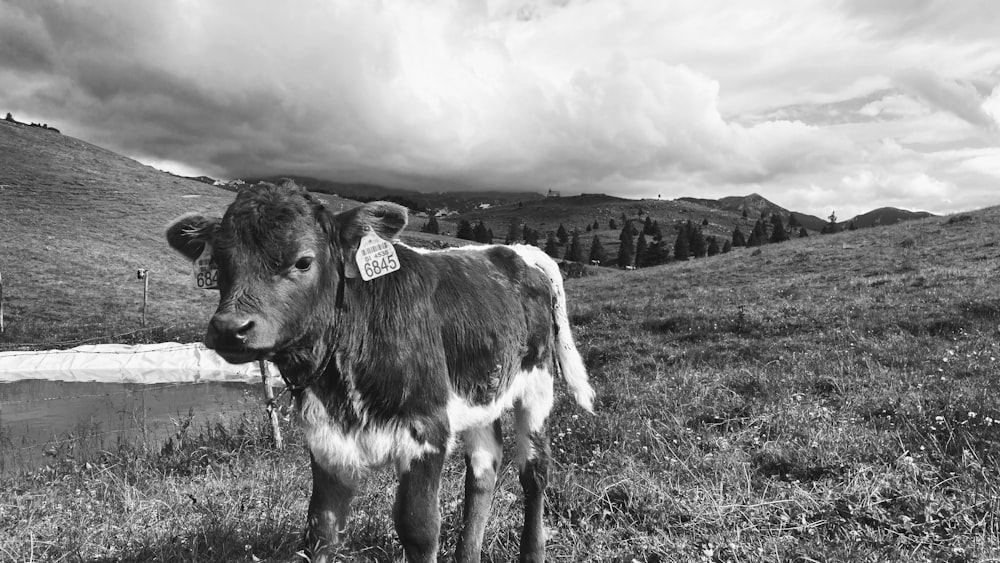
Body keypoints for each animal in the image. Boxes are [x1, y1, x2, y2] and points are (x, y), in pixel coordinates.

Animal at [168, 183, 596, 560]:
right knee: (484, 467)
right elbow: (321, 529)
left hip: (537, 385)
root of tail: (516, 251)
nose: (229, 328)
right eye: (219, 264)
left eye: (303, 261)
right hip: (480, 392)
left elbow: (418, 528)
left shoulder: (427, 429)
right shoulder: (326, 437)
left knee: (534, 471)